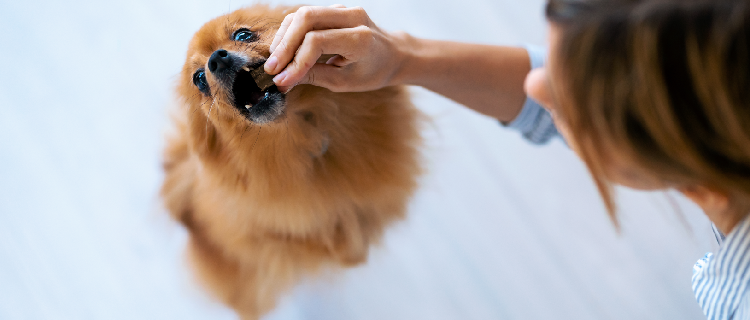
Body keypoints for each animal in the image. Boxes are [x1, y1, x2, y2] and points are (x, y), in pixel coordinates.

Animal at [160, 4, 424, 318]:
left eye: (243, 34)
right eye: (199, 79)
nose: (216, 60)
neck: (300, 136)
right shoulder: (282, 234)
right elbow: (325, 240)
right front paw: (352, 247)